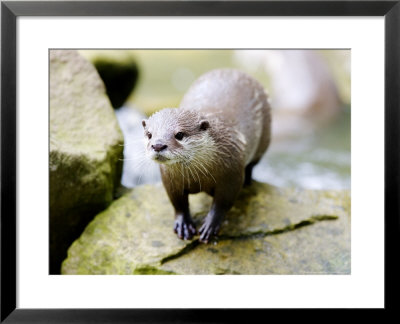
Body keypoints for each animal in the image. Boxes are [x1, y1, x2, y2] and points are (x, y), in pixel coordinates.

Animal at [141, 70, 272, 243]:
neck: (198, 178)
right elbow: (177, 202)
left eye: (179, 134)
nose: (158, 145)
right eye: (149, 134)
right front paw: (183, 224)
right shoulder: (170, 179)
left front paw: (211, 225)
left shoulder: (232, 174)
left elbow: (223, 203)